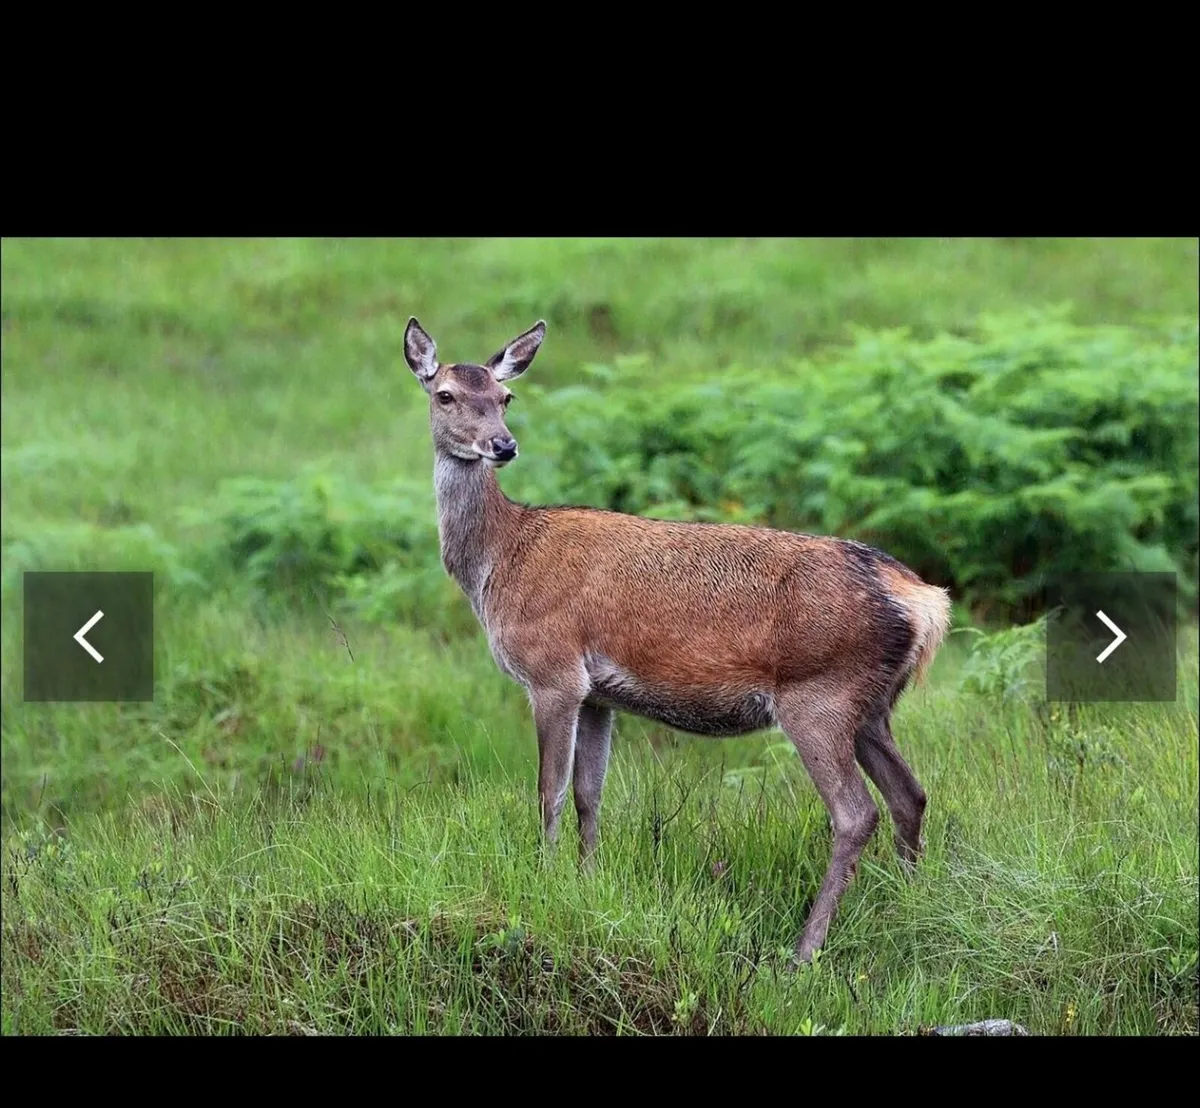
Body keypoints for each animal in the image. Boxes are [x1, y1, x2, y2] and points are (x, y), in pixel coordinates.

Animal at [403, 316, 951, 963]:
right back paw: (907, 908)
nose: (503, 445)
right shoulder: (598, 694)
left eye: (506, 396)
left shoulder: (551, 671)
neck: (499, 561)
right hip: (872, 705)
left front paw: (542, 881)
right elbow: (589, 794)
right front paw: (585, 884)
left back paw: (804, 950)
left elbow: (548, 792)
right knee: (910, 795)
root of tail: (924, 601)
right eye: (446, 395)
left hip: (821, 694)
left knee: (855, 812)